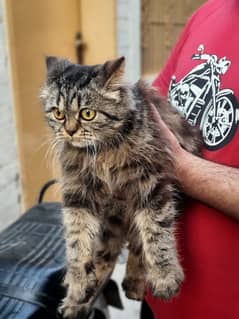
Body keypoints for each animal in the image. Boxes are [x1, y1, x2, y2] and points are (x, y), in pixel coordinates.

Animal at [40, 56, 201, 318]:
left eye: (87, 114)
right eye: (58, 113)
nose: (70, 131)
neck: (104, 152)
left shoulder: (151, 183)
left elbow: (157, 235)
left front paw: (165, 277)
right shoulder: (78, 192)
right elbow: (76, 242)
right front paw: (78, 282)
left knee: (137, 244)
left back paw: (134, 284)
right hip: (111, 223)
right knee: (105, 257)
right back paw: (79, 301)